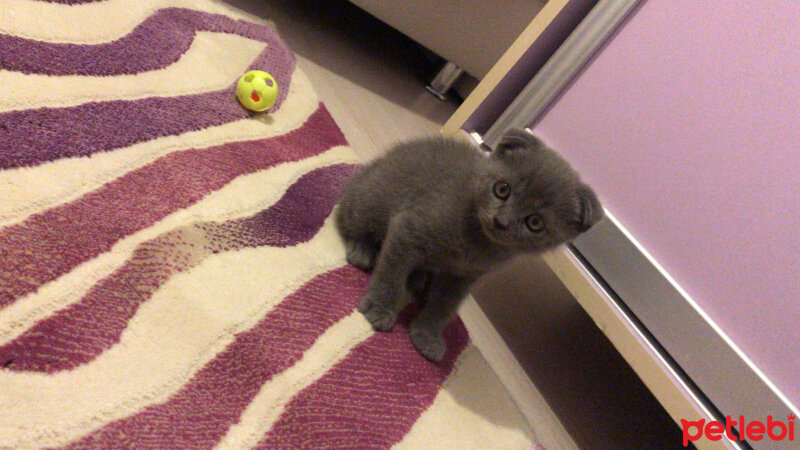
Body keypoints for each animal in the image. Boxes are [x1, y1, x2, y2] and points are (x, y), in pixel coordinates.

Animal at [334, 128, 604, 360]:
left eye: (535, 222)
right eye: (502, 189)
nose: (501, 221)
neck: (477, 243)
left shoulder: (465, 276)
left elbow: (445, 305)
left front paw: (427, 336)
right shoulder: (408, 229)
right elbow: (391, 274)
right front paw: (379, 308)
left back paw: (419, 280)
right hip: (369, 200)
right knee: (347, 213)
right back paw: (363, 250)